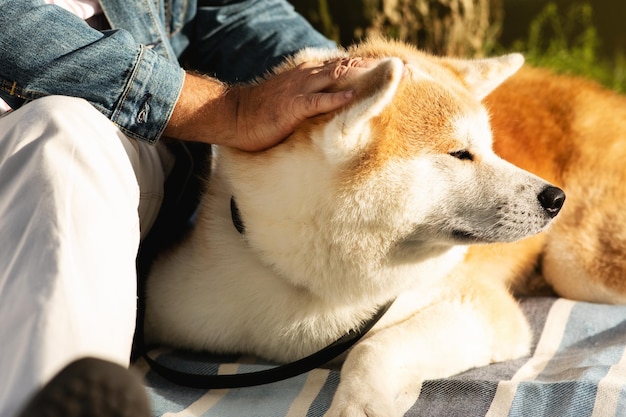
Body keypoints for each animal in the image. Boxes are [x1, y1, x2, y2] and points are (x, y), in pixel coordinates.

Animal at [145, 37, 564, 414]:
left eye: (492, 149)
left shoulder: (483, 307)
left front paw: (361, 402)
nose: (556, 198)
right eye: (460, 153)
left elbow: (374, 346)